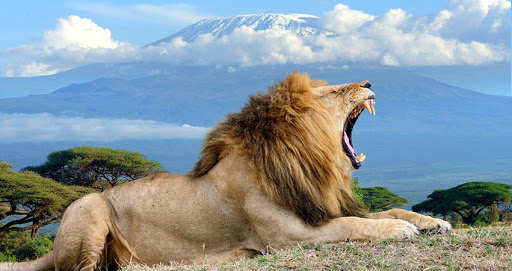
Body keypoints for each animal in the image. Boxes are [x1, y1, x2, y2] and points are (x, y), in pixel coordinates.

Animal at [3, 73, 452, 270]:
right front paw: (400, 231)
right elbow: (355, 226)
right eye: (336, 91)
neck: (309, 162)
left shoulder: (319, 207)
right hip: (89, 207)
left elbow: (386, 210)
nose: (369, 82)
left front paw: (432, 221)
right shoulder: (289, 236)